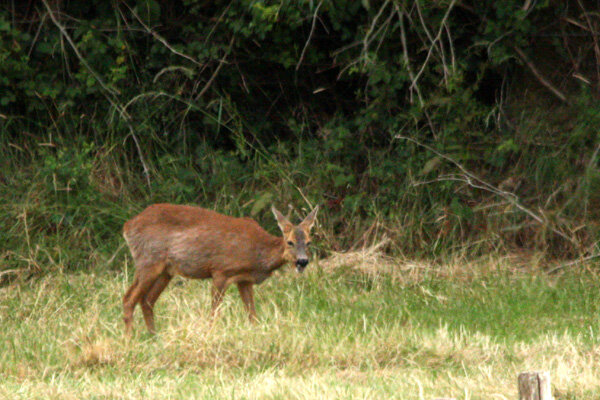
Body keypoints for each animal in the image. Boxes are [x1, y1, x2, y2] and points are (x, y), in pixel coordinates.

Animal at [122, 203, 318, 334]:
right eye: (290, 242)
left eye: (309, 242)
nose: (302, 261)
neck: (257, 253)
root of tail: (127, 226)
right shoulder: (220, 271)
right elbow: (214, 313)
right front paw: (210, 334)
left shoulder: (244, 279)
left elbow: (251, 314)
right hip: (149, 260)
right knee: (129, 298)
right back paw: (130, 339)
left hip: (165, 270)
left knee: (147, 300)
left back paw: (154, 336)